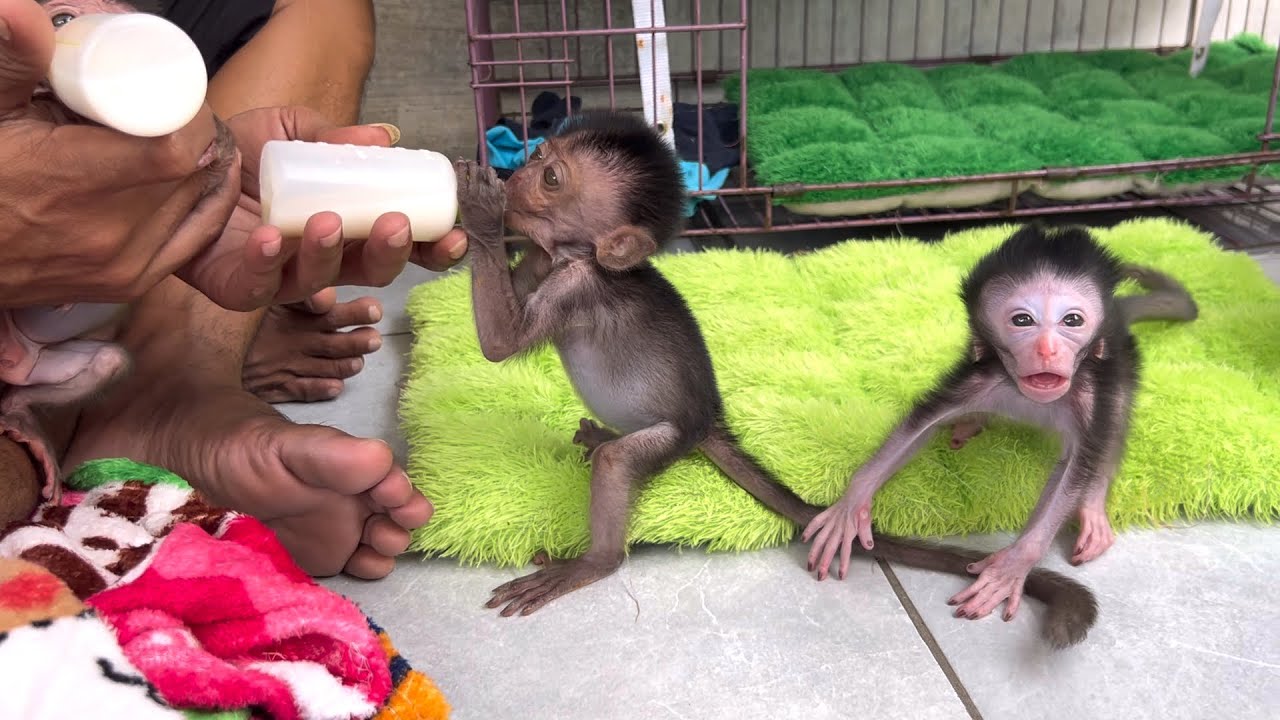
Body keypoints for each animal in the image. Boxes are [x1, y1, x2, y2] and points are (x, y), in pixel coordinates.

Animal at [454, 111, 1105, 648]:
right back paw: (599, 440)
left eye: (551, 176)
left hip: (670, 439)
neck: (581, 258)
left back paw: (594, 558)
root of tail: (706, 424)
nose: (514, 176)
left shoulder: (578, 286)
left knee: (621, 465)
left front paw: (479, 209)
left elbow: (502, 344)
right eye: (539, 152)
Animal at [802, 222, 1198, 636]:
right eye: (1022, 321)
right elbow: (920, 424)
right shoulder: (983, 377)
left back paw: (1093, 505)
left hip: (1121, 361)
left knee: (1114, 419)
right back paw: (970, 423)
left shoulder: (1088, 397)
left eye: (1072, 321)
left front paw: (1013, 565)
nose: (1047, 350)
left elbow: (1077, 469)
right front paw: (850, 507)